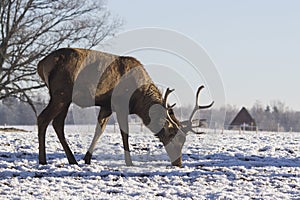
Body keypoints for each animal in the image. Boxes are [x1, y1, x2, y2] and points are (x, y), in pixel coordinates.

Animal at [37, 48, 213, 167]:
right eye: (172, 136)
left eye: (184, 140)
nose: (179, 163)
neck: (138, 100)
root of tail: (41, 64)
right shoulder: (120, 104)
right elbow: (125, 134)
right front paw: (129, 162)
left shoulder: (106, 106)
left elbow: (99, 130)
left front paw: (87, 158)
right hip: (61, 93)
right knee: (43, 118)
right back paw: (43, 160)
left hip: (64, 98)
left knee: (57, 123)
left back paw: (72, 159)